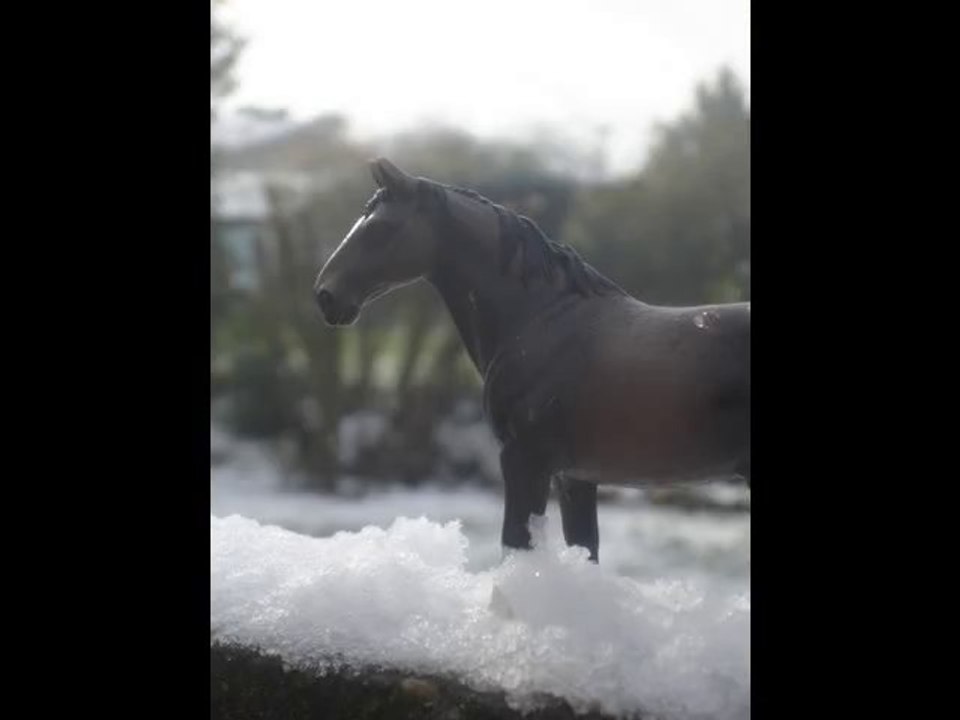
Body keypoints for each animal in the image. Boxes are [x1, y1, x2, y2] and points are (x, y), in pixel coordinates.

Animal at [313, 158, 750, 563]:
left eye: (379, 228)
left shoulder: (524, 462)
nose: (325, 295)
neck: (541, 319)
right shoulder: (574, 478)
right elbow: (584, 549)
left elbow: (515, 546)